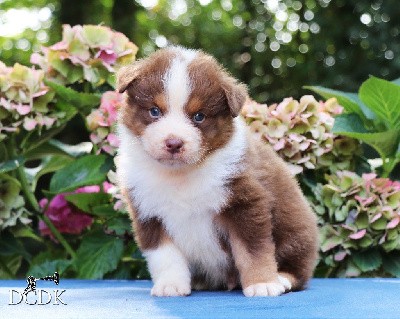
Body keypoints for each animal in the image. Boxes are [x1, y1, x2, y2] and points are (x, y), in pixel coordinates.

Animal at [115, 46, 318, 298]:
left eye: (199, 116)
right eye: (154, 111)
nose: (173, 143)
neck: (180, 176)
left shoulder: (245, 202)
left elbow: (253, 250)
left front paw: (262, 283)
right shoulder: (148, 213)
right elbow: (164, 255)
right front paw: (170, 285)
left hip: (296, 232)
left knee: (299, 271)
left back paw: (281, 279)